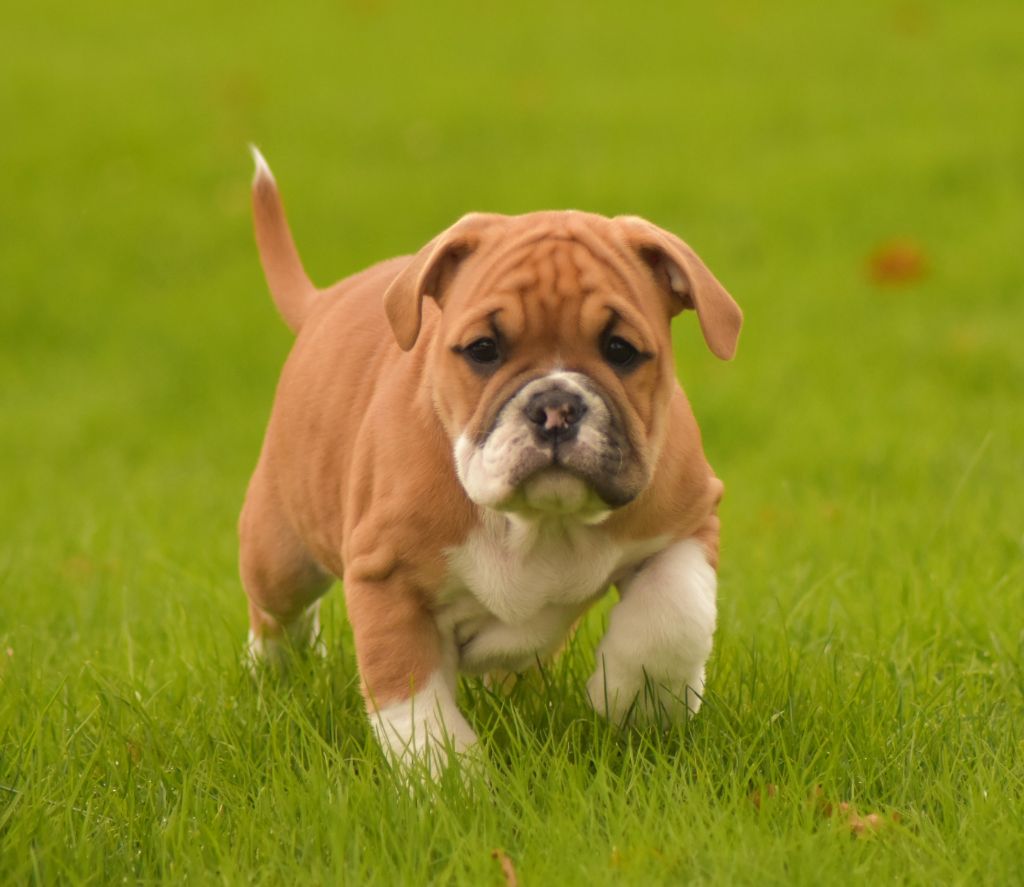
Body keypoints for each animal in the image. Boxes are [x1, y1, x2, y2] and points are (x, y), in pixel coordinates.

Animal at [243, 148, 749, 770]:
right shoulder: (386, 578)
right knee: (276, 615)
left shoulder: (688, 522)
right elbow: (411, 699)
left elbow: (674, 615)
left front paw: (640, 700)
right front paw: (447, 776)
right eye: (484, 350)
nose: (555, 407)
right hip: (279, 556)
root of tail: (325, 301)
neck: (540, 524)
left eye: (621, 350)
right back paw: (274, 674)